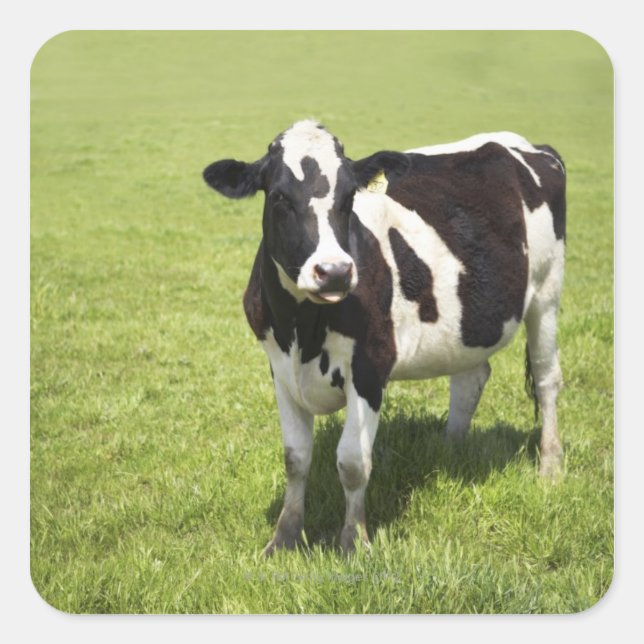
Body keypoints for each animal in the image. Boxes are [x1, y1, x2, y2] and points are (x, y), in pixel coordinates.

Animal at [202, 120, 566, 555]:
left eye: (348, 197)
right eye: (278, 197)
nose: (334, 271)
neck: (302, 329)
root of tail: (526, 143)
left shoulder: (370, 366)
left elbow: (353, 462)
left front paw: (354, 541)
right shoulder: (279, 366)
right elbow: (296, 457)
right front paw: (284, 538)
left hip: (546, 291)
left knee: (546, 379)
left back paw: (550, 468)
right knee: (471, 378)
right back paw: (449, 451)